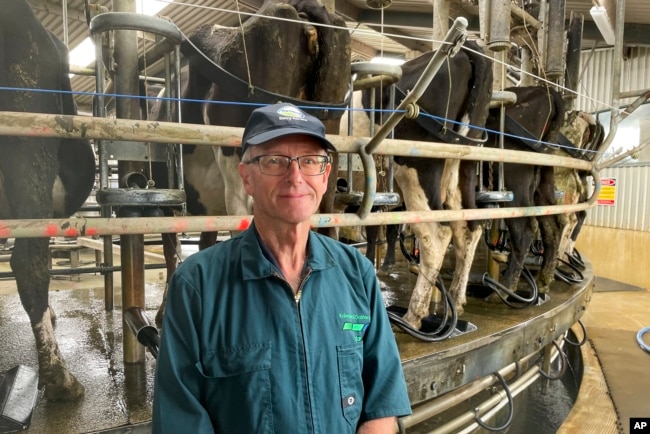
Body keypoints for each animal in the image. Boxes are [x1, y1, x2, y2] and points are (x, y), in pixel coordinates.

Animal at [151, 0, 350, 326]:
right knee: (329, 222)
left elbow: (171, 248)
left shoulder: (166, 201)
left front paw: (165, 311)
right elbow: (203, 242)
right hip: (326, 160)